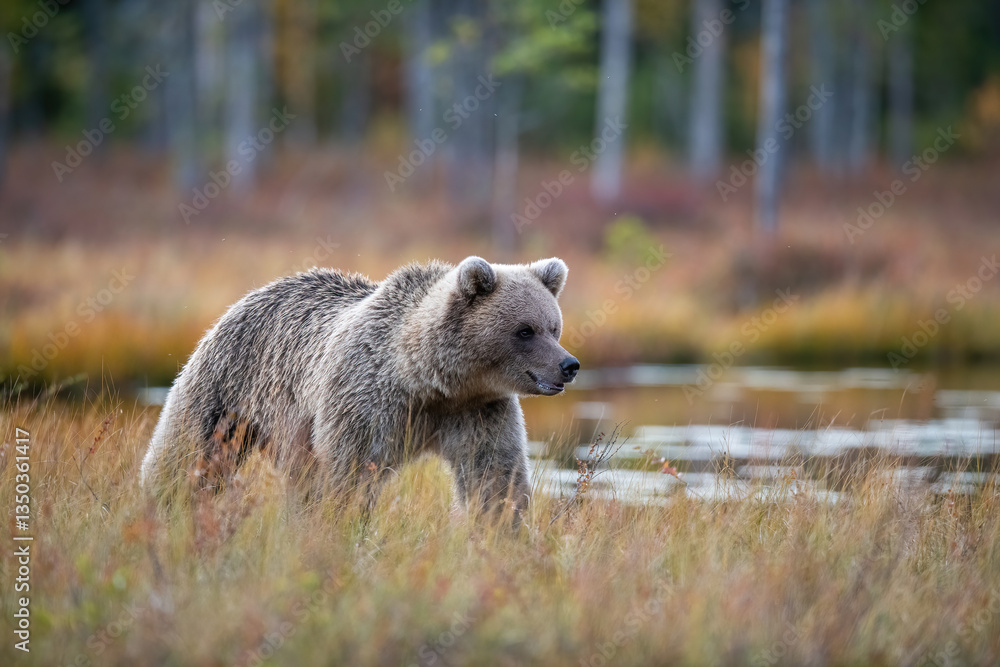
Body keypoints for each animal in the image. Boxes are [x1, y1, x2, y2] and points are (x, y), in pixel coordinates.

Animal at [139, 256, 579, 521]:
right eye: (525, 330)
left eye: (554, 327)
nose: (569, 365)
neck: (426, 378)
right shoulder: (366, 397)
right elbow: (349, 475)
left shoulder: (478, 408)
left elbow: (495, 477)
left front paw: (502, 533)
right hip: (227, 386)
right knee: (187, 453)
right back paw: (162, 502)